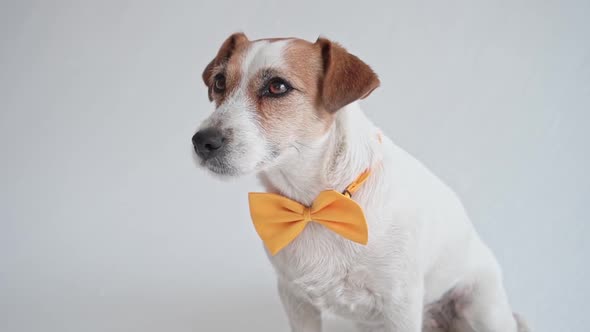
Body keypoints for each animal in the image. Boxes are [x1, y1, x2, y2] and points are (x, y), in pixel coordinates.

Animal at [194, 33, 532, 332]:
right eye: (219, 82)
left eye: (277, 86)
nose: (202, 142)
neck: (319, 204)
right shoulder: (296, 299)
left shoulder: (400, 305)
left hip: (481, 308)